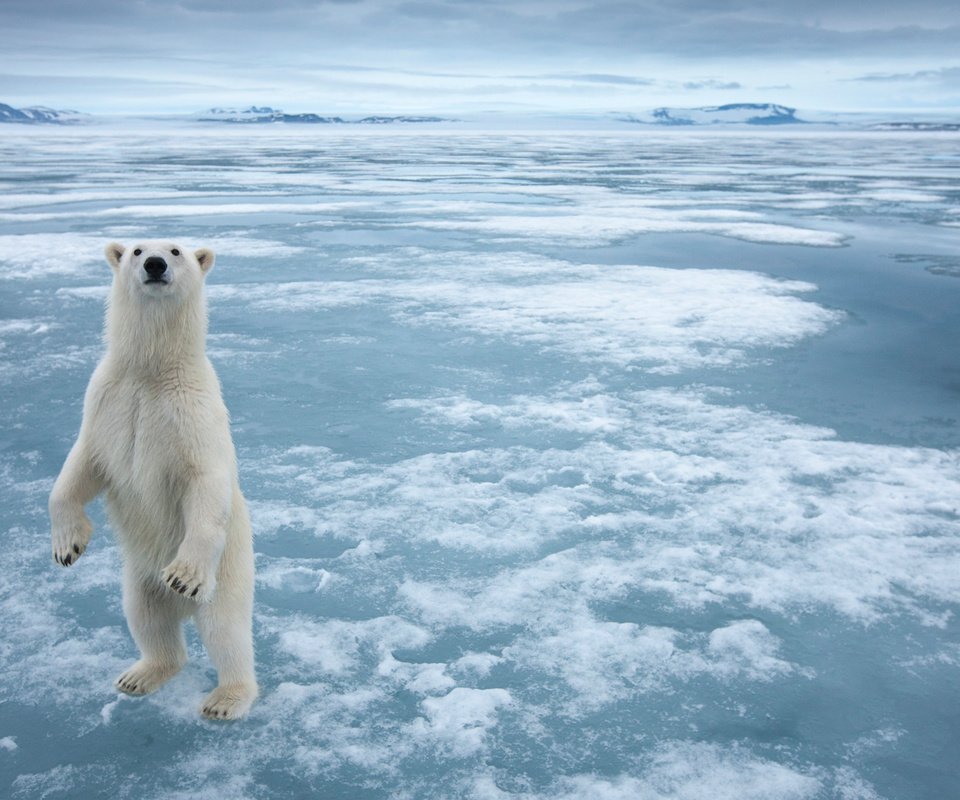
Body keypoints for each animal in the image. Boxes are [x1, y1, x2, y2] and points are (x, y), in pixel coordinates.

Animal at [47, 239, 258, 720]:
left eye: (176, 250)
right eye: (137, 249)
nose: (156, 264)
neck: (151, 371)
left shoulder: (193, 414)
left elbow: (205, 482)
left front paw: (183, 574)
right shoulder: (107, 401)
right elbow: (81, 467)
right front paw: (68, 546)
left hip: (229, 571)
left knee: (226, 630)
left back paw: (226, 698)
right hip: (138, 578)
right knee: (146, 619)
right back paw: (139, 675)